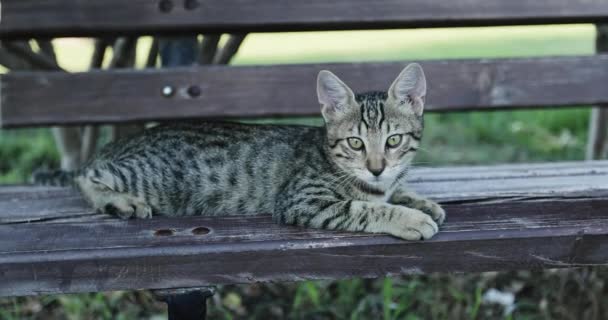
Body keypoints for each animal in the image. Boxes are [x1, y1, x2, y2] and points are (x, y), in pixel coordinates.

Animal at [39, 63, 446, 240]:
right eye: (355, 142)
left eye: (393, 140)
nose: (377, 168)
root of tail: (121, 142)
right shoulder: (302, 199)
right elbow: (362, 207)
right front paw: (409, 218)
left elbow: (395, 191)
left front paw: (420, 200)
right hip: (150, 178)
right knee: (85, 175)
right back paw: (119, 200)